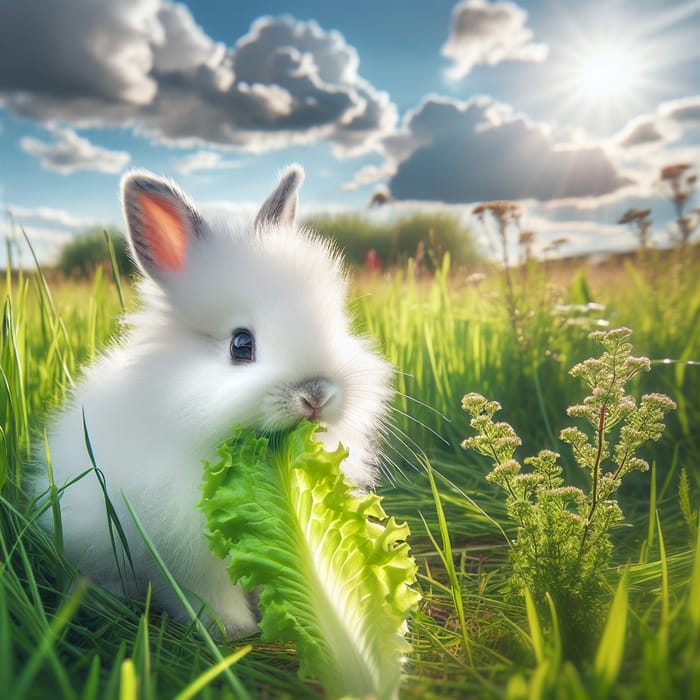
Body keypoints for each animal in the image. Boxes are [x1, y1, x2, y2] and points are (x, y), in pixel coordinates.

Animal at [37, 167, 394, 636]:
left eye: (337, 327)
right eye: (241, 344)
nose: (316, 394)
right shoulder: (184, 551)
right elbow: (202, 593)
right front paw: (233, 629)